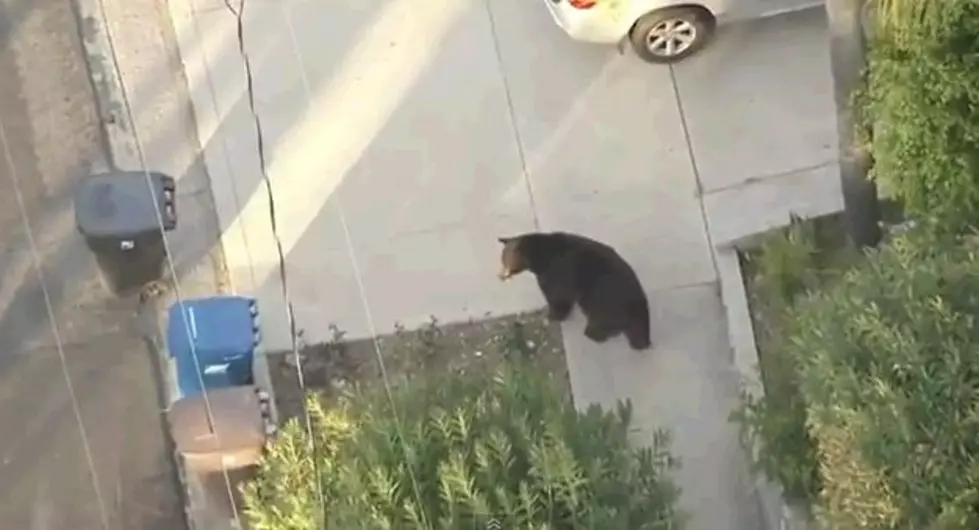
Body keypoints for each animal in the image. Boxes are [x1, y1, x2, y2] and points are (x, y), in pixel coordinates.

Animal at [498, 231, 652, 350]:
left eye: (504, 260)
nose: (501, 275)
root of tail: (639, 303)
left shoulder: (557, 276)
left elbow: (558, 299)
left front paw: (553, 315)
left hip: (602, 302)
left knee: (599, 323)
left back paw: (593, 334)